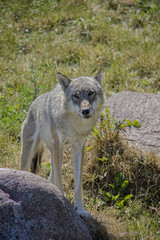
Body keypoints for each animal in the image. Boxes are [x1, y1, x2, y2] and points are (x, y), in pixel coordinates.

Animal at [20, 70, 105, 218]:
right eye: (76, 96)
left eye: (90, 93)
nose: (85, 111)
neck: (74, 125)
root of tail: (34, 102)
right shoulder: (58, 145)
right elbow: (59, 182)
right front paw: (63, 203)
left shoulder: (78, 148)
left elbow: (78, 186)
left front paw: (81, 210)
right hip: (34, 153)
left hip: (55, 155)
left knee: (50, 177)